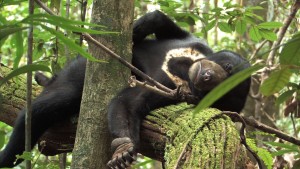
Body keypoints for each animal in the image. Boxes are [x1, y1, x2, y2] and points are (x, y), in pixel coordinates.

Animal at [0, 10, 251, 168]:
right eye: (227, 68)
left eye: (219, 93)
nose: (207, 76)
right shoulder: (195, 43)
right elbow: (162, 23)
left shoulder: (172, 91)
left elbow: (130, 102)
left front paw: (124, 150)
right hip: (82, 67)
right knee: (47, 106)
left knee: (45, 107)